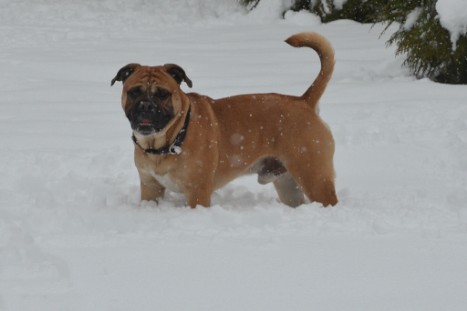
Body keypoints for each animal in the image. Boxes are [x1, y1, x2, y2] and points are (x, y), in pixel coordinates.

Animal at [113, 31, 340, 208]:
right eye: (134, 92)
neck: (166, 141)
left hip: (315, 177)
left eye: (162, 94)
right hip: (288, 184)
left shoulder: (197, 193)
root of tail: (304, 101)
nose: (146, 106)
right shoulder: (150, 188)